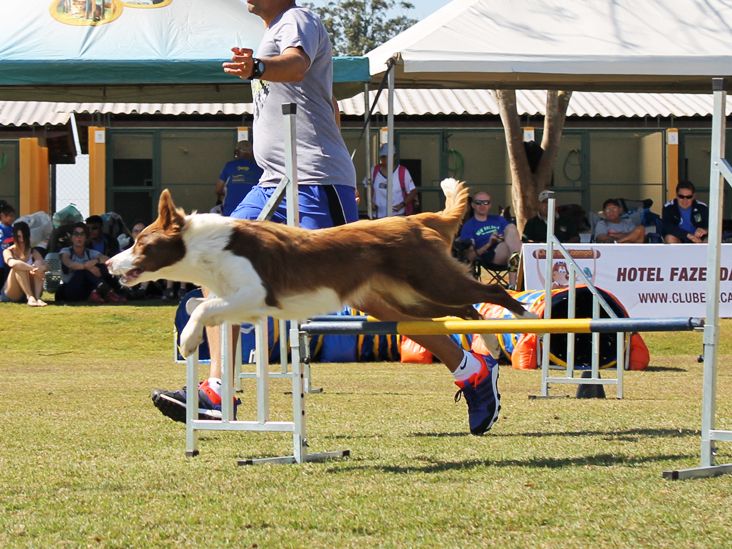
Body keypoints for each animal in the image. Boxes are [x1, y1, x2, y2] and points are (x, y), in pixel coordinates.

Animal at [107, 177, 532, 356]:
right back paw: (489, 343)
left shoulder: (256, 293)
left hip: (430, 281)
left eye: (142, 243)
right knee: (467, 309)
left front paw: (188, 340)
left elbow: (204, 307)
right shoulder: (242, 302)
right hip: (409, 297)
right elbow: (205, 305)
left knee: (491, 291)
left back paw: (525, 315)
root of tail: (417, 220)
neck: (206, 249)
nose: (110, 262)